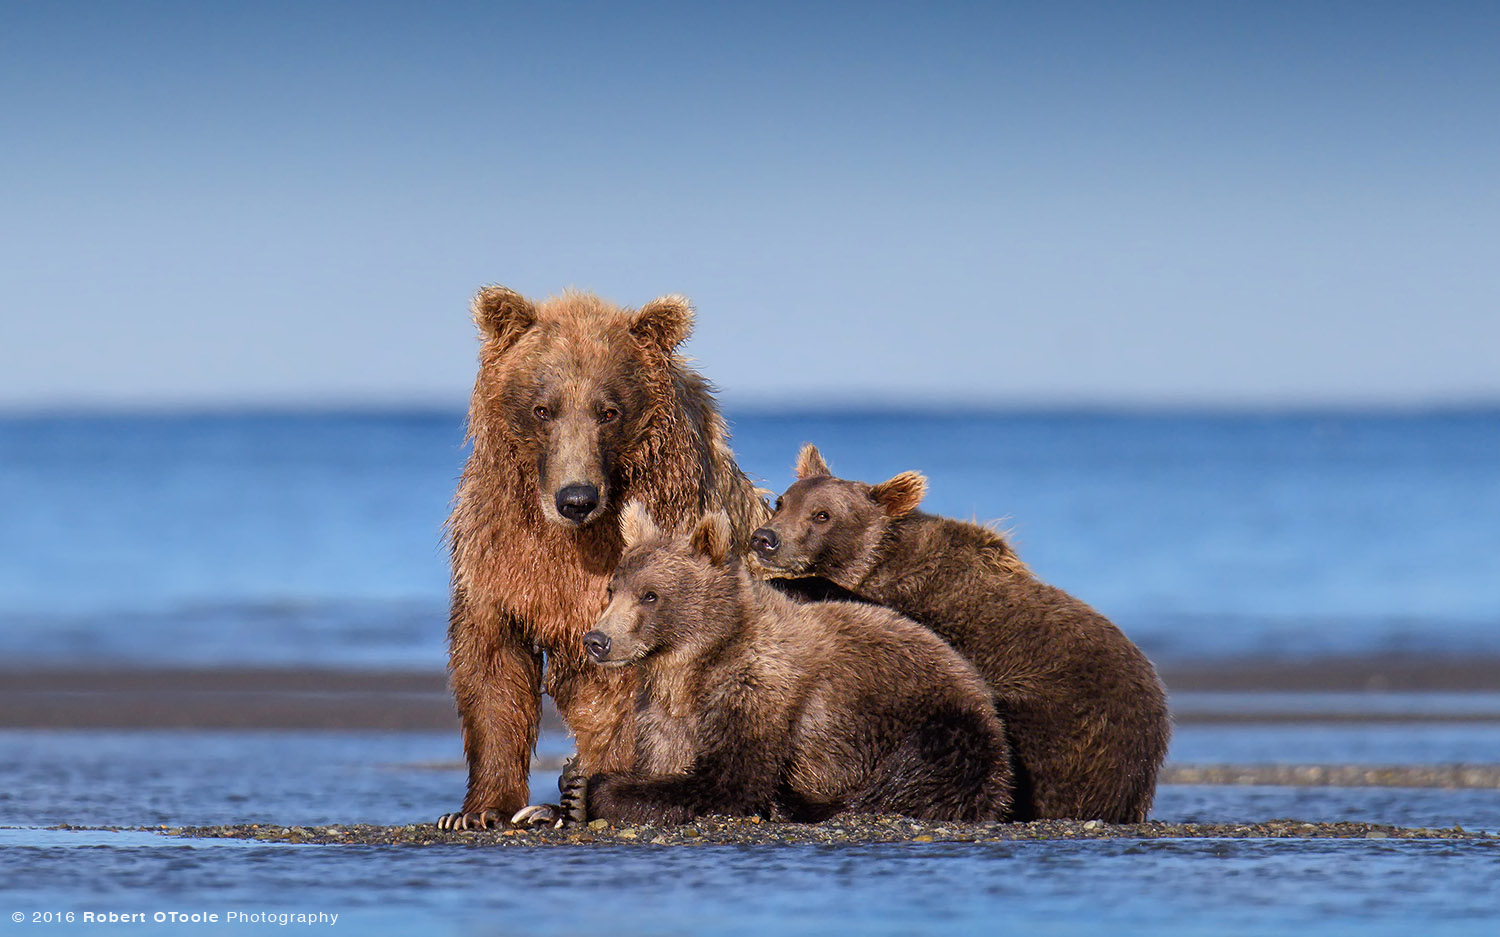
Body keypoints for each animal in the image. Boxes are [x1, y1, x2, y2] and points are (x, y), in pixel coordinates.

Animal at [432, 283, 762, 827]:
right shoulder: (497, 551)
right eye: (543, 409)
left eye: (608, 411)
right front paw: (481, 810)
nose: (576, 498)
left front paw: (583, 796)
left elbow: (635, 687)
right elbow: (492, 661)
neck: (578, 539)